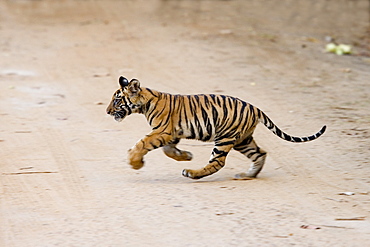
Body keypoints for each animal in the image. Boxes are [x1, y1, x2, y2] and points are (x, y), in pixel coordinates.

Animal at [105, 76, 326, 179]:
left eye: (116, 100)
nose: (107, 111)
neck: (145, 103)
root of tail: (255, 108)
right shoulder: (171, 133)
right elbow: (168, 150)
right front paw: (186, 155)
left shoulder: (162, 131)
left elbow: (142, 143)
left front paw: (134, 162)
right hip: (243, 140)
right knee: (260, 153)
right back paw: (247, 175)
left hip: (225, 138)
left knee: (218, 163)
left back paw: (192, 173)